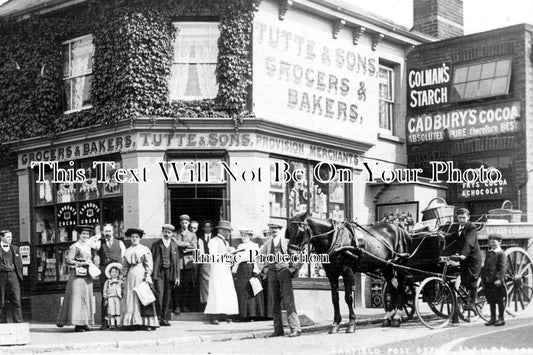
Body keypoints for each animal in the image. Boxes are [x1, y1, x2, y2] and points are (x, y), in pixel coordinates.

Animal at [284, 214, 414, 334]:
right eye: (289, 231)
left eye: (300, 231)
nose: (290, 253)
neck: (335, 239)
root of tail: (401, 229)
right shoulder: (331, 274)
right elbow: (335, 298)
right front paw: (335, 324)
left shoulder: (348, 272)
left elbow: (348, 297)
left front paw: (351, 324)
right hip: (386, 267)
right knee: (393, 290)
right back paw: (388, 317)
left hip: (399, 266)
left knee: (400, 289)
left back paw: (398, 316)